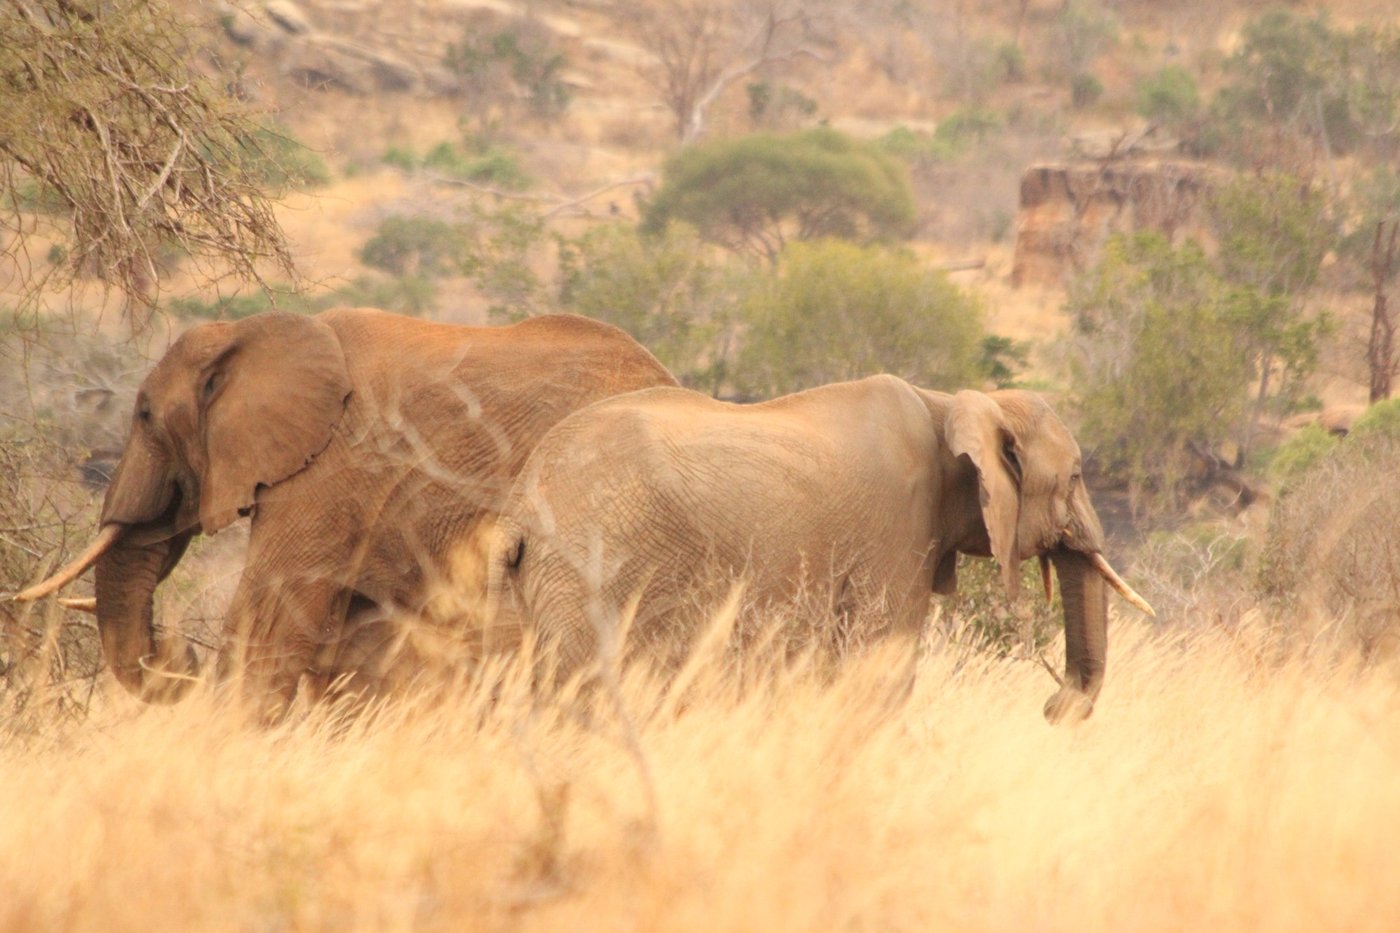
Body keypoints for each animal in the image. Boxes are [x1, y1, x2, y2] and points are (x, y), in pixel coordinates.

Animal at [490, 374, 1152, 722]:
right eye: (1074, 478)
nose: (1054, 705)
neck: (950, 400)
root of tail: (519, 504)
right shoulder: (896, 528)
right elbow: (881, 662)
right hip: (595, 565)